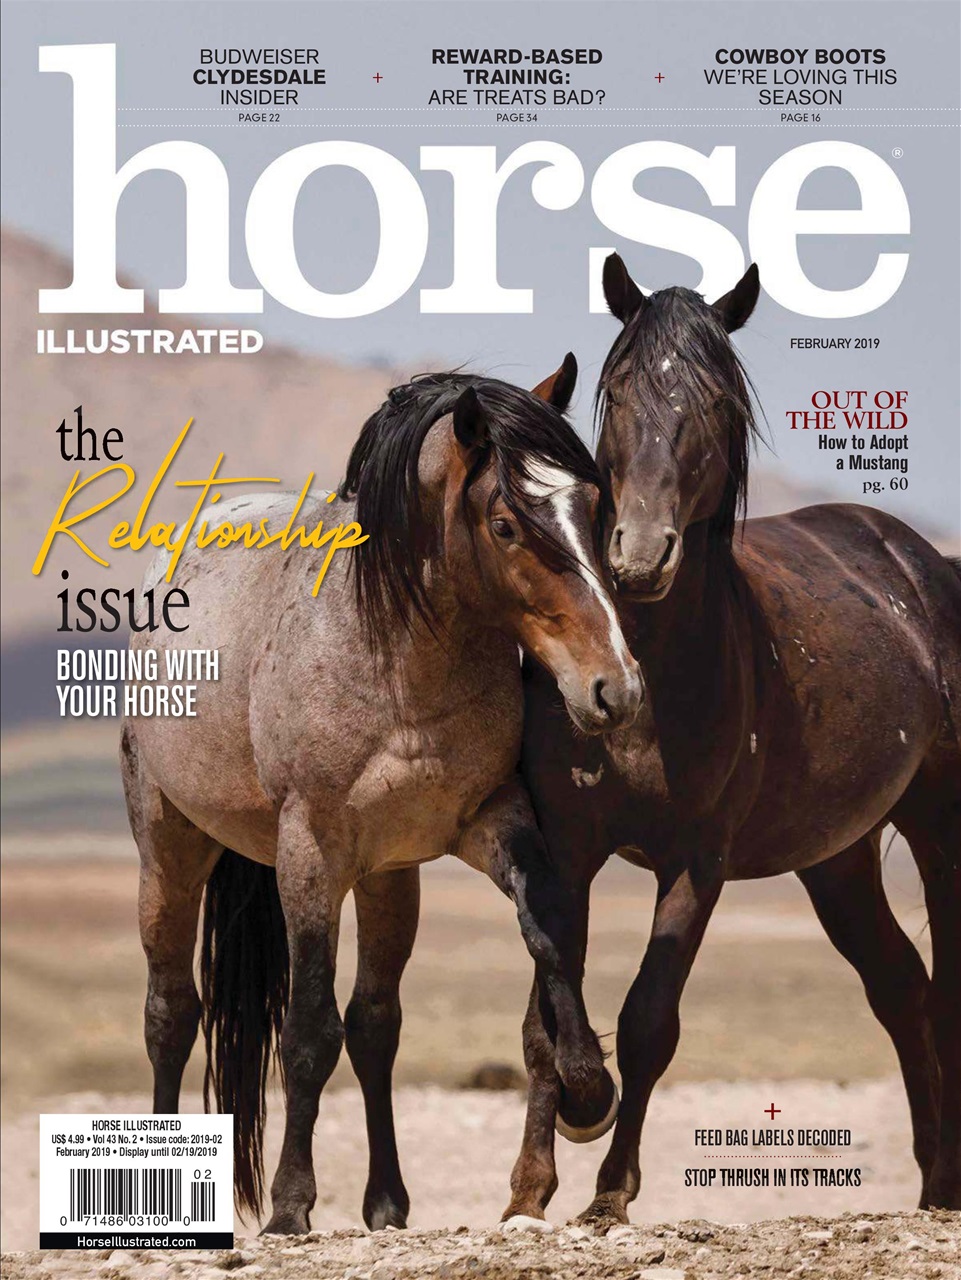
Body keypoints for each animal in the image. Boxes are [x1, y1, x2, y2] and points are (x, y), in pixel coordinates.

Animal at [121, 360, 643, 1236]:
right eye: (505, 524)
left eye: (593, 508)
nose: (615, 688)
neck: (397, 660)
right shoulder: (310, 852)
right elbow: (306, 1030)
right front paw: (291, 1206)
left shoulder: (485, 823)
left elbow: (545, 932)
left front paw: (586, 1088)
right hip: (170, 848)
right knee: (168, 1014)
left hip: (387, 879)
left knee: (374, 1026)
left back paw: (387, 1203)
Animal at [501, 256, 961, 1229]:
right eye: (616, 392)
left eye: (713, 401)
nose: (638, 554)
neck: (644, 672)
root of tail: (918, 562)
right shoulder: (566, 850)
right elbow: (543, 1024)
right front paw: (527, 1191)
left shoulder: (696, 863)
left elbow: (648, 1021)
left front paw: (609, 1195)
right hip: (838, 860)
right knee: (901, 989)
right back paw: (932, 1177)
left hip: (939, 832)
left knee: (941, 995)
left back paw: (945, 1186)